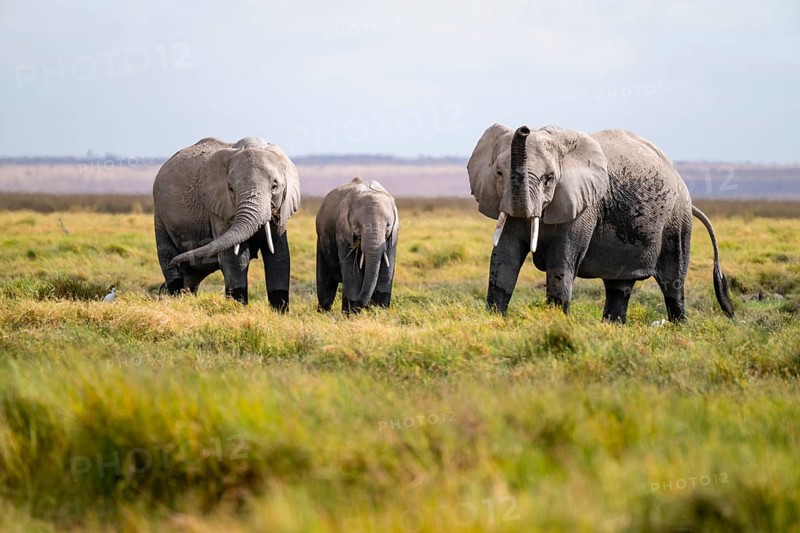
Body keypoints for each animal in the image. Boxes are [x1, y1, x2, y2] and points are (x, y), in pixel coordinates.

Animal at [153, 136, 300, 310]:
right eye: (230, 188)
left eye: (275, 186)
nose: (177, 261)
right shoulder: (218, 208)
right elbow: (235, 258)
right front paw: (238, 309)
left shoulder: (283, 207)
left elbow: (278, 256)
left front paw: (279, 312)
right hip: (159, 215)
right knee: (167, 257)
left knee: (192, 275)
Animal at [316, 177, 399, 313]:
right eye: (356, 224)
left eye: (388, 225)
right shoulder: (342, 231)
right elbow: (353, 276)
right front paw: (350, 314)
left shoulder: (393, 236)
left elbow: (386, 274)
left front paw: (379, 312)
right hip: (322, 239)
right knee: (325, 284)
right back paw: (323, 313)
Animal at [467, 123, 735, 323]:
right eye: (499, 174)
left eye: (549, 179)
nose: (523, 129)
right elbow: (505, 255)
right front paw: (495, 320)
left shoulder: (585, 206)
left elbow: (561, 260)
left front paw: (555, 321)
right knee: (619, 286)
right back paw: (613, 327)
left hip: (676, 223)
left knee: (673, 282)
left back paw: (678, 327)